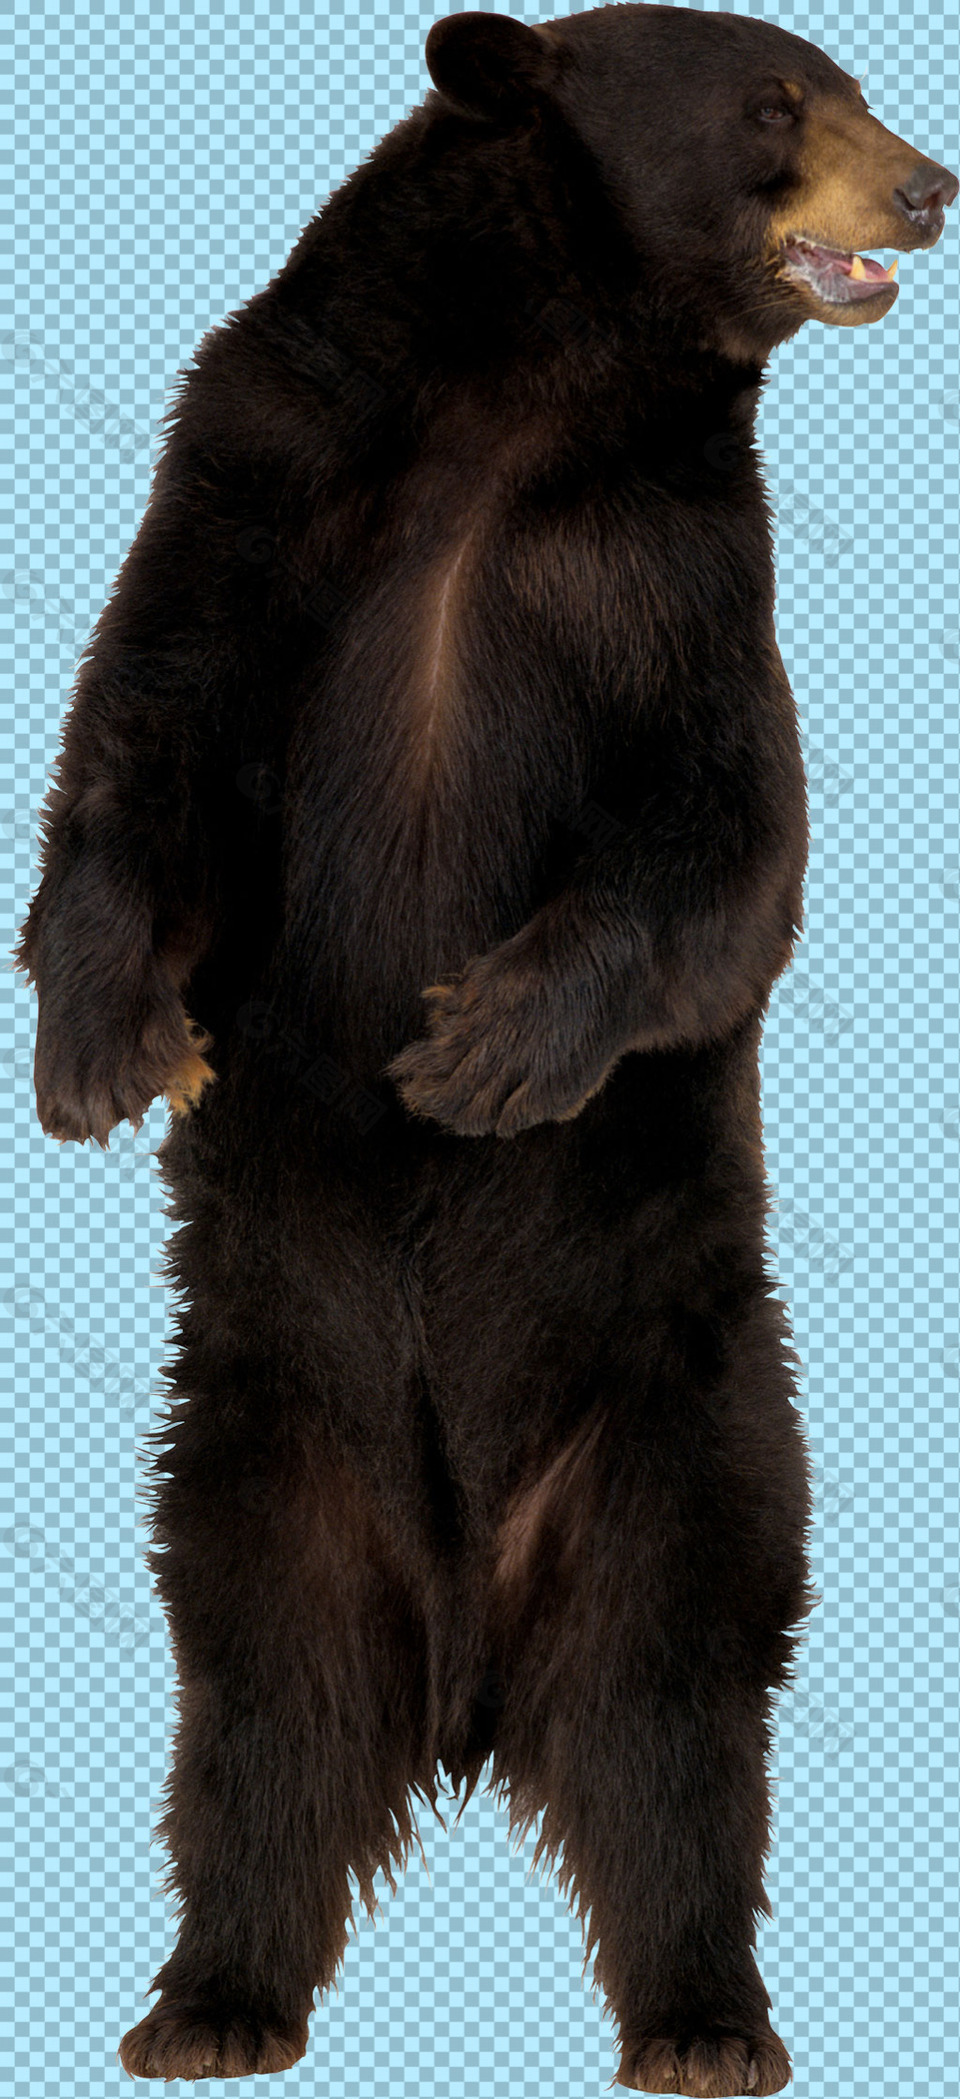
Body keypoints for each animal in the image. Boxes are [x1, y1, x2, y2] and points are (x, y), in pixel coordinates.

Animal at [13, 7, 956, 2093]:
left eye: (848, 85)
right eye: (780, 100)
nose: (934, 185)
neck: (520, 403)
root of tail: (459, 1666)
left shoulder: (683, 566)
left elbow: (724, 844)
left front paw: (484, 1055)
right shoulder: (259, 470)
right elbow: (143, 731)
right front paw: (108, 1050)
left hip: (680, 1443)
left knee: (677, 1731)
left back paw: (705, 2015)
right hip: (260, 1462)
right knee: (257, 1722)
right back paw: (209, 1994)